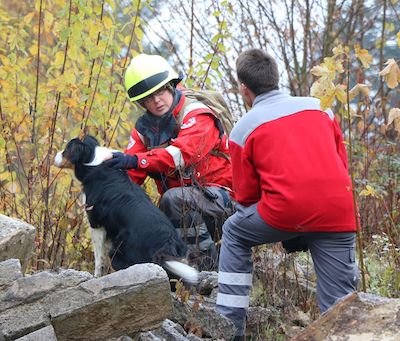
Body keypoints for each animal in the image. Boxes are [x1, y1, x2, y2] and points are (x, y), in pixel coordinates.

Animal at [54, 134, 198, 282]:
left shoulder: (96, 223)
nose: (56, 155)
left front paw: (96, 276)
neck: (94, 162)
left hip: (120, 251)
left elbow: (99, 257)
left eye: (66, 150)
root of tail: (167, 244)